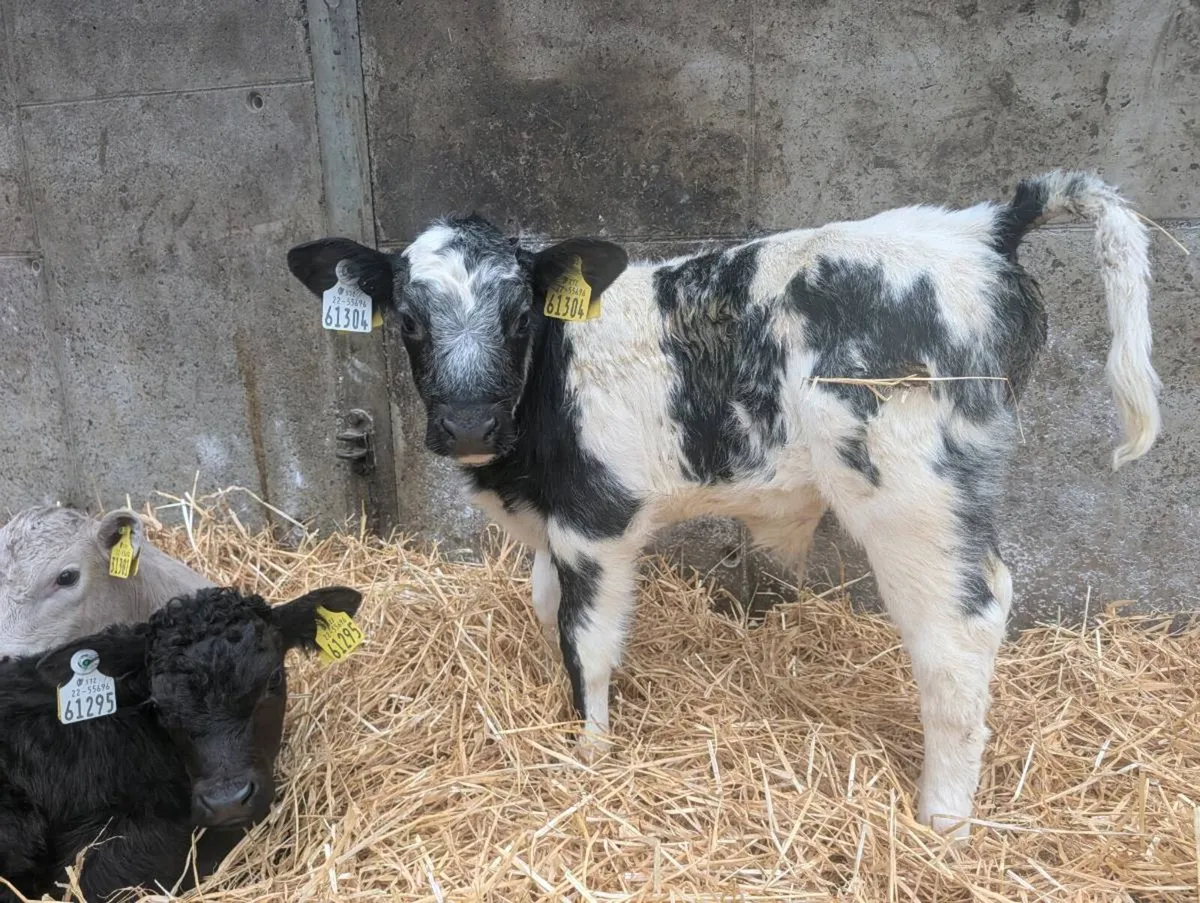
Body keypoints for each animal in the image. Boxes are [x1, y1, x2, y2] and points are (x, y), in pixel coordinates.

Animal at [287, 170, 1161, 836]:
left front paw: (590, 752)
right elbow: (545, 608)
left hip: (913, 491)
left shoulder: (597, 520)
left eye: (518, 313)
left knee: (959, 629)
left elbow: (587, 639)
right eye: (407, 318)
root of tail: (980, 226)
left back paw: (942, 818)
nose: (469, 422)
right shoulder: (550, 523)